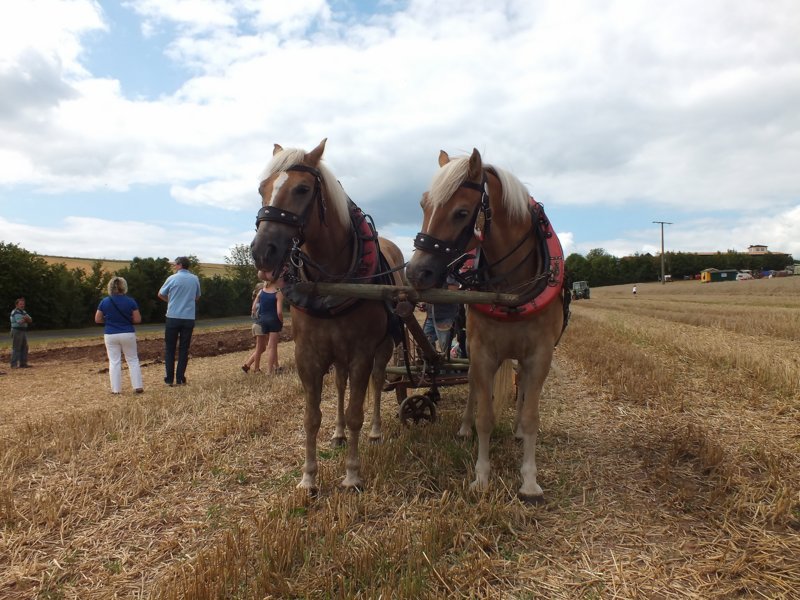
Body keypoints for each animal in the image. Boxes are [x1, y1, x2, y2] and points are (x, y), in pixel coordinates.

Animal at [252, 139, 406, 492]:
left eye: (302, 188)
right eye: (262, 188)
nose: (262, 251)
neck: (330, 281)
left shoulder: (362, 353)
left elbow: (355, 412)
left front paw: (351, 475)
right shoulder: (308, 354)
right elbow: (312, 417)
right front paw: (308, 478)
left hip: (384, 346)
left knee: (378, 380)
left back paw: (375, 431)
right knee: (339, 384)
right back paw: (337, 434)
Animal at [406, 149, 568, 502]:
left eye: (462, 212)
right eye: (423, 204)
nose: (415, 272)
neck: (510, 291)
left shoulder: (540, 355)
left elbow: (532, 415)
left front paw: (529, 480)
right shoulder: (481, 353)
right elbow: (485, 415)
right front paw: (481, 475)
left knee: (522, 387)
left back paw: (518, 430)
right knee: (473, 389)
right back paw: (465, 427)